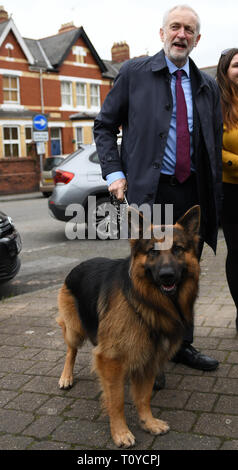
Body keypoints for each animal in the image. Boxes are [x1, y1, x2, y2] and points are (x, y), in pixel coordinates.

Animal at [56, 206, 200, 448]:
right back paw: (66, 377)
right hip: (75, 329)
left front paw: (148, 422)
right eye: (152, 252)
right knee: (70, 350)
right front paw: (120, 432)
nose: (167, 276)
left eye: (178, 249)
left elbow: (143, 397)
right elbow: (116, 401)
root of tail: (78, 265)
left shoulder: (150, 358)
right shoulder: (110, 358)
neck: (145, 302)